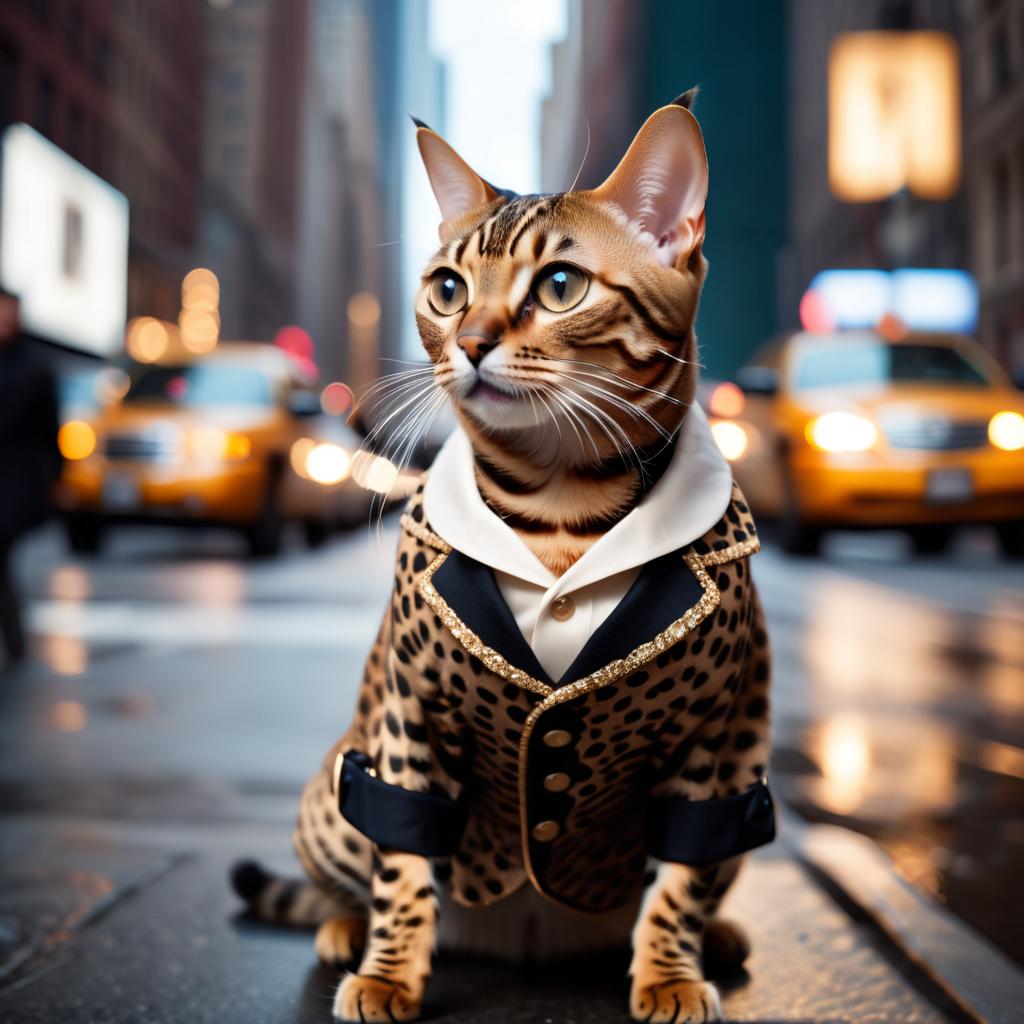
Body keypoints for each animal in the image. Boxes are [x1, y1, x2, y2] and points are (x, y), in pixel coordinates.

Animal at [234, 92, 774, 1019]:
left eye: (560, 287)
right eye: (447, 290)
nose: (472, 341)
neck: (560, 506)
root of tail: (529, 943)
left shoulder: (713, 734)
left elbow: (681, 879)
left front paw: (671, 970)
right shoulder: (411, 713)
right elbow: (402, 865)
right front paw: (387, 970)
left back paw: (721, 938)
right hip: (330, 799)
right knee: (352, 874)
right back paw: (343, 931)